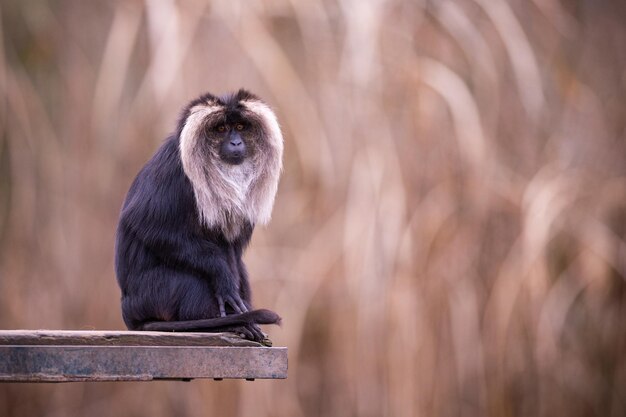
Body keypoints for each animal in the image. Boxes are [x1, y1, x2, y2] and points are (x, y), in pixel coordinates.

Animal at [114, 89, 282, 340]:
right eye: (221, 129)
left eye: (240, 126)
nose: (235, 142)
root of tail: (130, 314)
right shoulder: (174, 168)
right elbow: (149, 226)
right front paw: (223, 280)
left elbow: (233, 252)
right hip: (152, 294)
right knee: (192, 279)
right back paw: (222, 324)